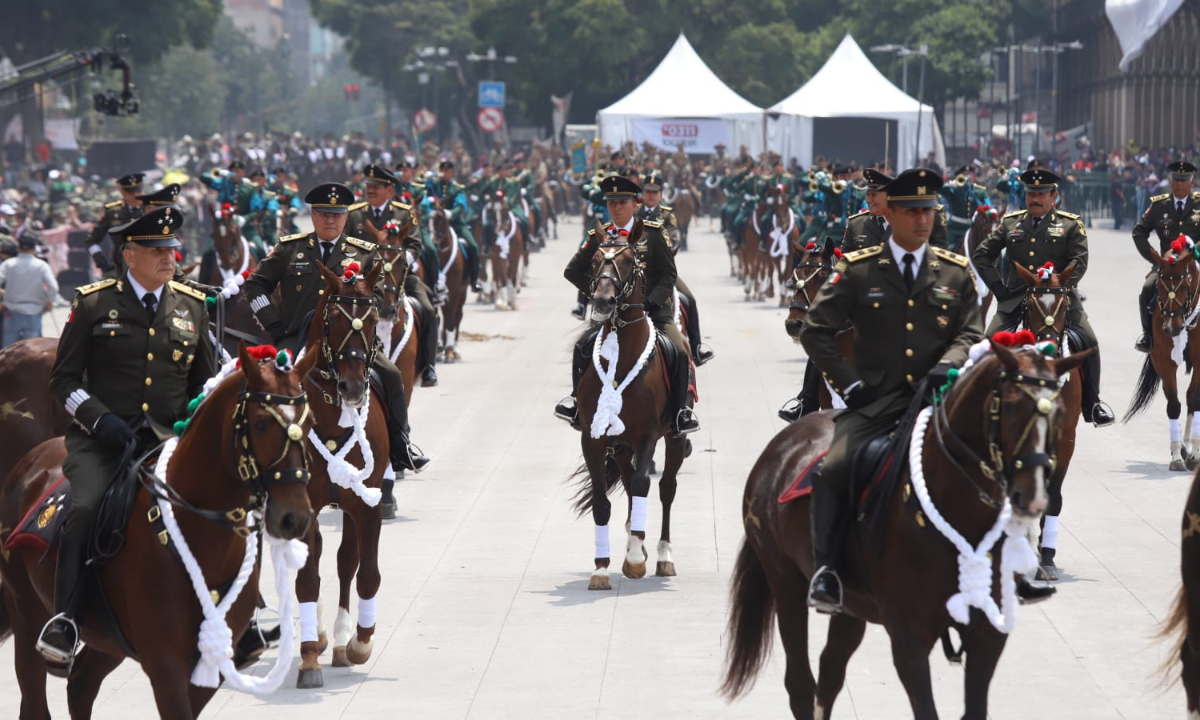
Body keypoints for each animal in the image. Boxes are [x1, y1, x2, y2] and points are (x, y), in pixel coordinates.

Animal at [0, 343, 319, 720]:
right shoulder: (165, 666)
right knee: (36, 699)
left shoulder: (205, 667)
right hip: (26, 614)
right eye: (260, 424)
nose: (294, 517)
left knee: (80, 686)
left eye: (310, 423)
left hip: (106, 639)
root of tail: (30, 462)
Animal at [568, 223, 686, 590]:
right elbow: (601, 500)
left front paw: (634, 559)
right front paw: (601, 568)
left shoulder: (647, 435)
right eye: (593, 261)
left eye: (630, 260)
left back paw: (662, 556)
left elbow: (645, 484)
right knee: (630, 479)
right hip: (619, 445)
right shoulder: (592, 438)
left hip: (674, 437)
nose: (603, 301)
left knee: (665, 488)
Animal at [720, 340, 1099, 720]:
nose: (1033, 496)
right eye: (1009, 406)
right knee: (800, 682)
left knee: (829, 673)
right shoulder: (908, 637)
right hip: (785, 581)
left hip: (851, 608)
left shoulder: (989, 633)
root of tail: (782, 446)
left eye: (1059, 411)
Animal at [1123, 244, 1200, 472]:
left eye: (1186, 284)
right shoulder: (1163, 359)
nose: (1172, 328)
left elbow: (1194, 399)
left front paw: (1194, 454)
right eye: (1160, 285)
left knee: (1191, 398)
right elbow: (1173, 404)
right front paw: (1176, 456)